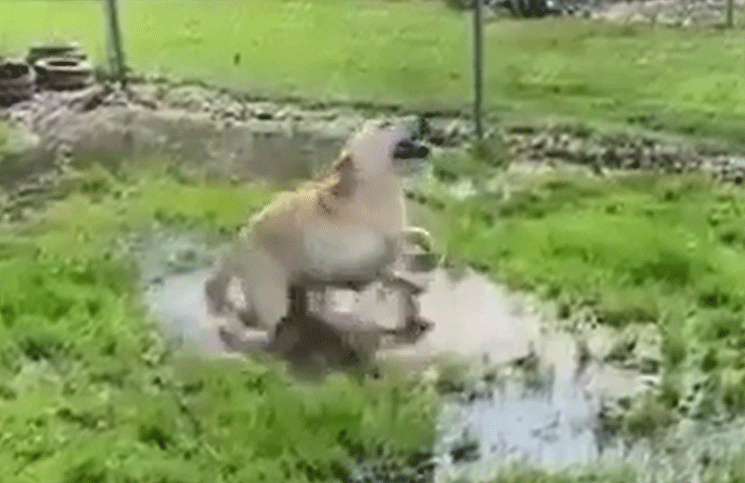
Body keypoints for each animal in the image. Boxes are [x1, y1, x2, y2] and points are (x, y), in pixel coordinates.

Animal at [203, 121, 430, 340]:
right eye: (385, 124)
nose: (422, 123)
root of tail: (237, 245)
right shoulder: (344, 256)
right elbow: (379, 263)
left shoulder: (392, 233)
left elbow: (409, 237)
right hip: (270, 290)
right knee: (263, 327)